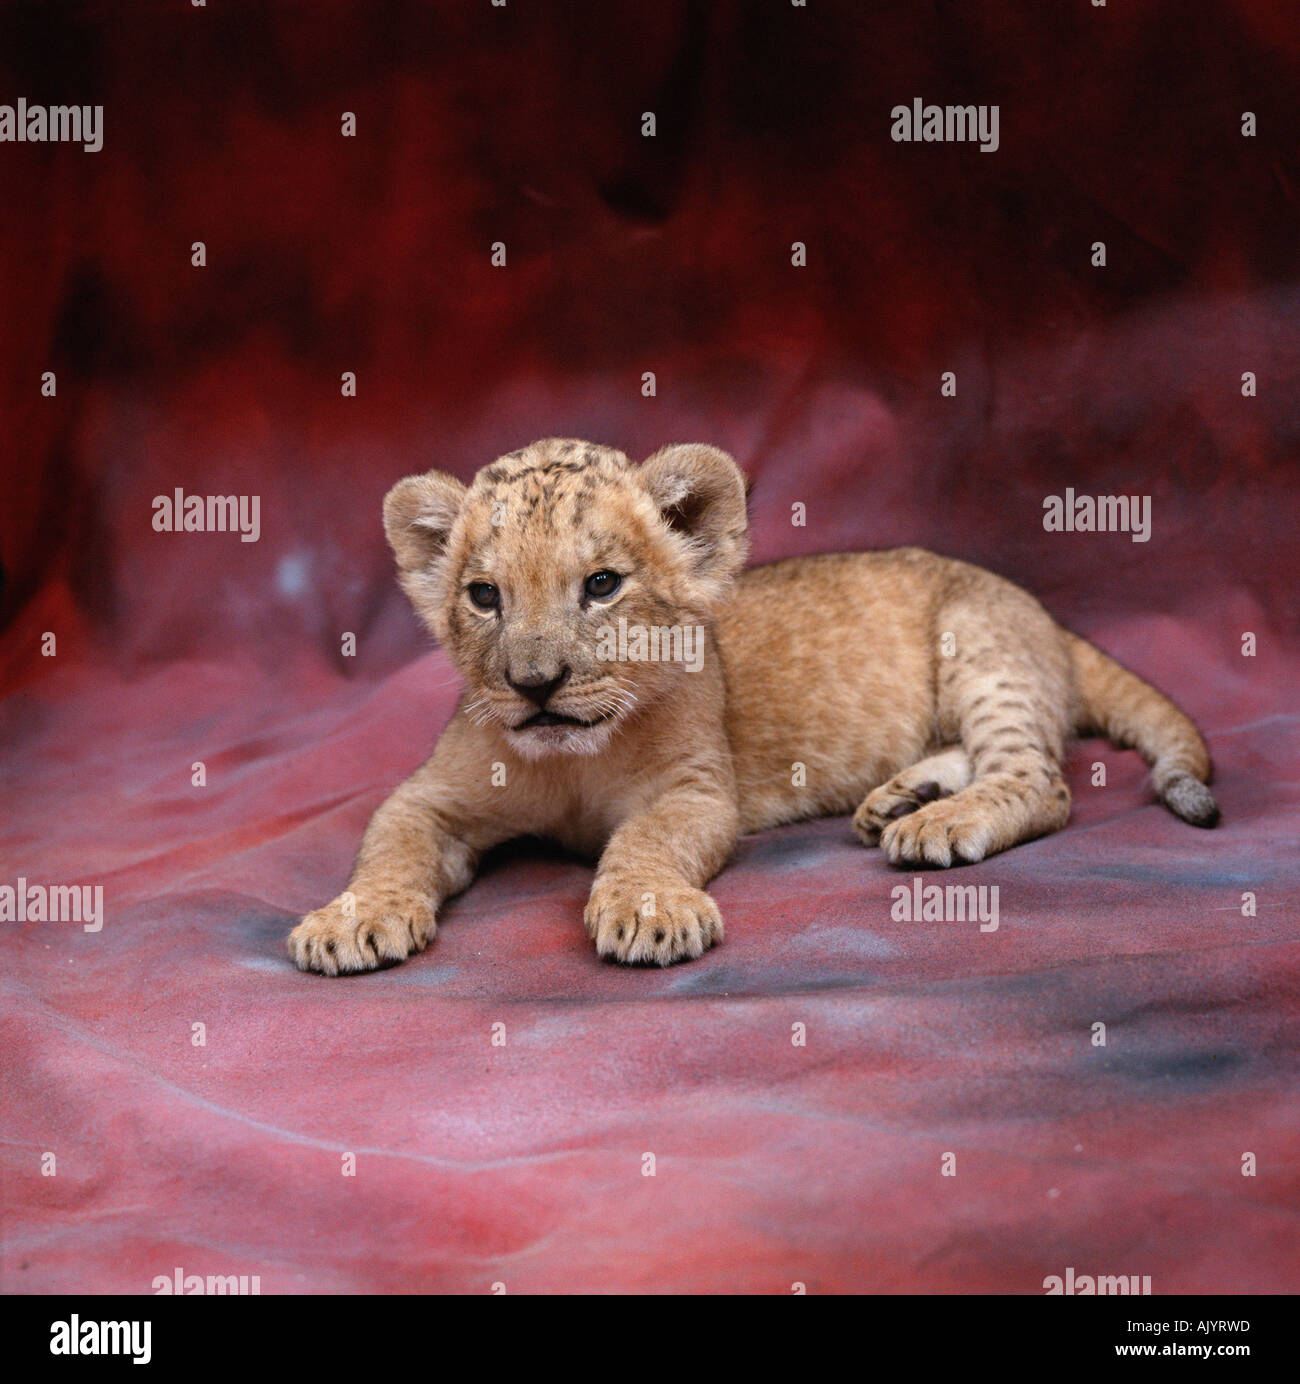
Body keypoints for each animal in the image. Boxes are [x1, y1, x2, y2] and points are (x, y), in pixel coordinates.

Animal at [288, 438, 1217, 973]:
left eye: (601, 585)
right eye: (484, 596)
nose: (534, 683)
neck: (576, 764)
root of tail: (1051, 619)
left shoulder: (699, 792)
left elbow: (647, 842)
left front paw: (649, 911)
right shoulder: (431, 795)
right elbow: (390, 845)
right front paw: (350, 921)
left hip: (980, 646)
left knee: (1039, 778)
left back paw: (936, 822)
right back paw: (900, 799)